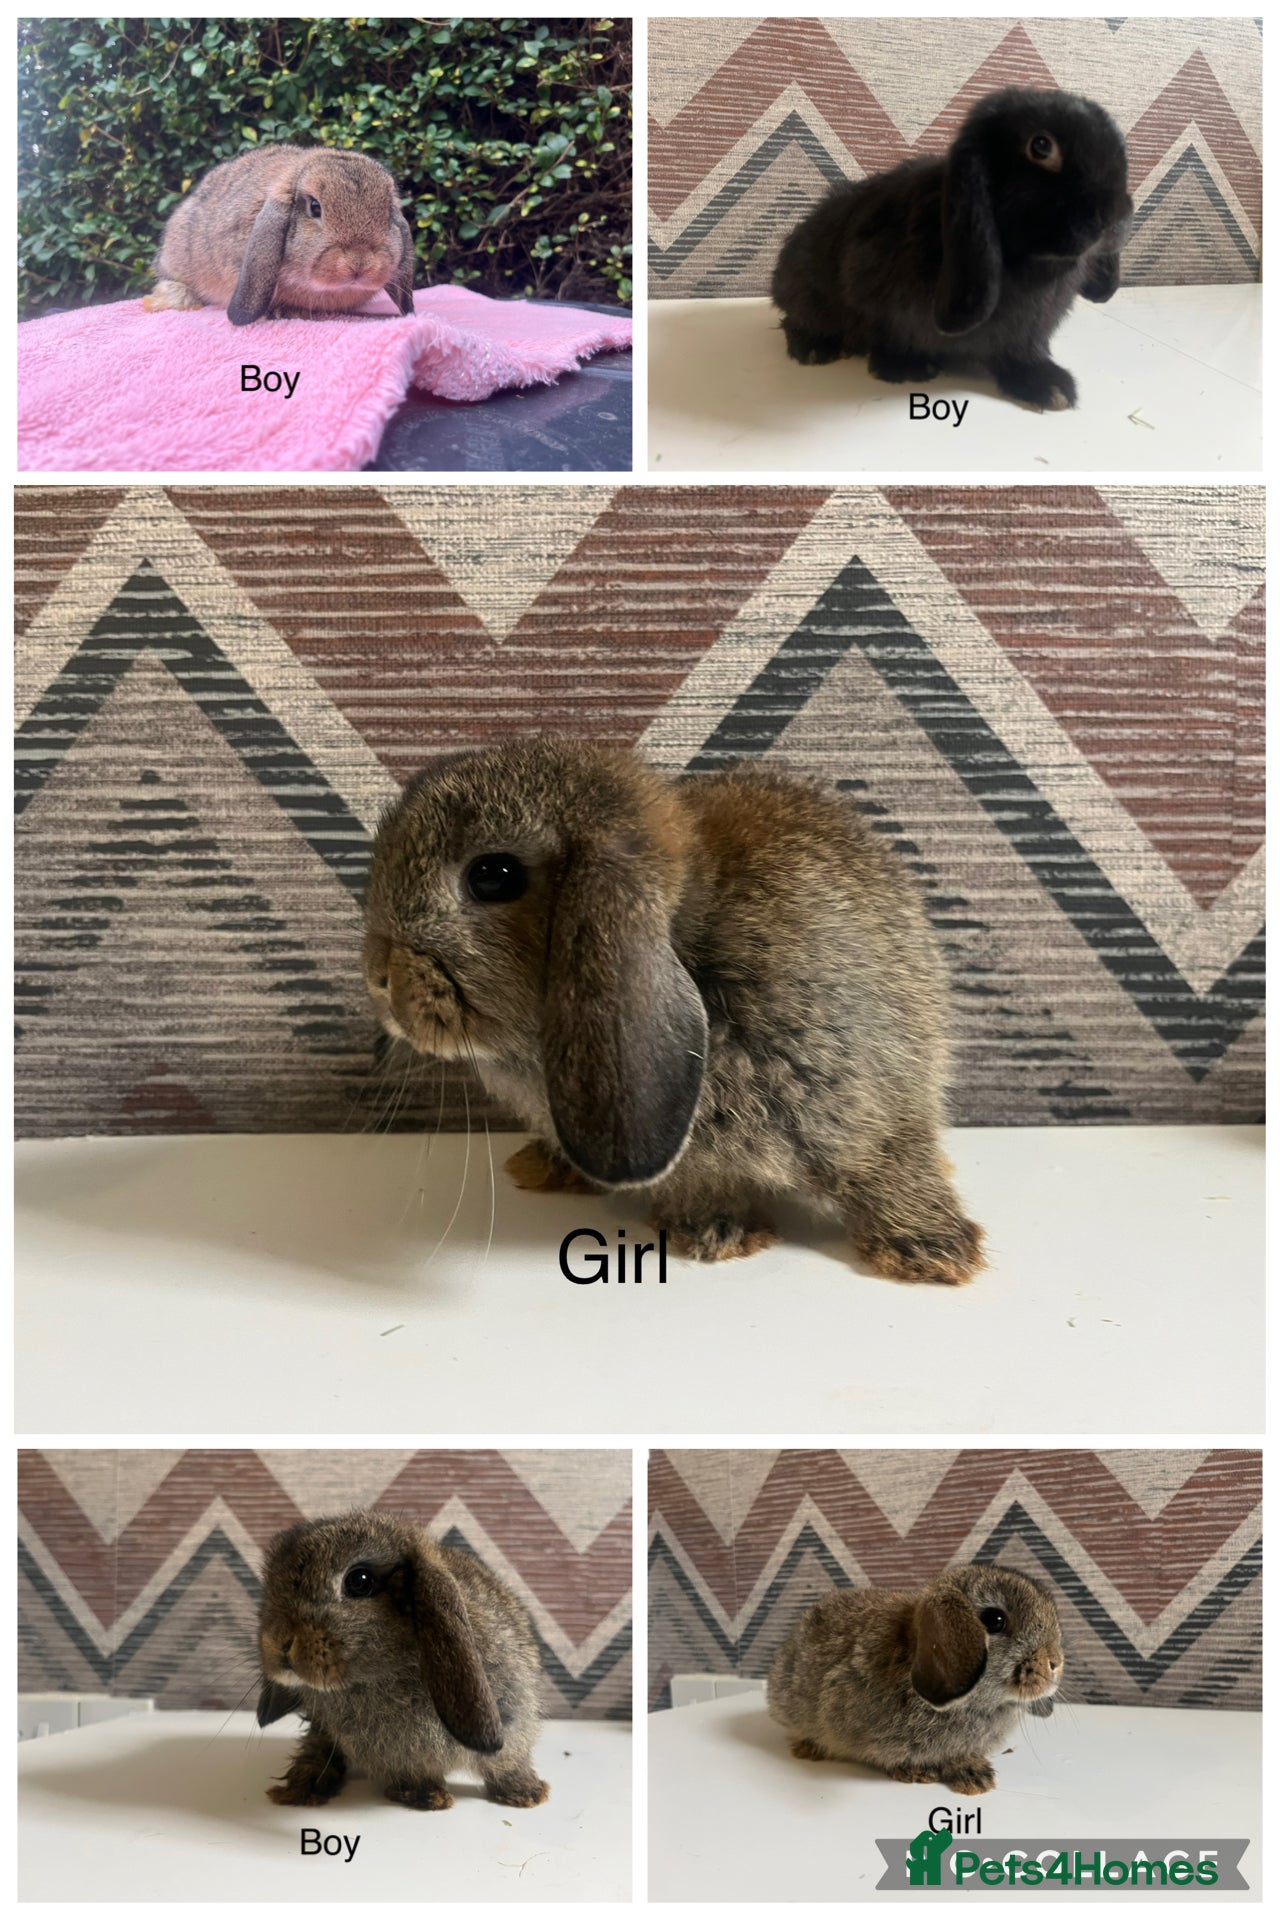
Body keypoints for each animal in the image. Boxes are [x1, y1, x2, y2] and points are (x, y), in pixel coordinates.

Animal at [256, 1510, 549, 1813]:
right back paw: (303, 1787)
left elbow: (507, 1763)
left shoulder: (512, 1721)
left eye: (359, 1581)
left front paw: (526, 1793)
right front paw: (426, 1795)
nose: (278, 1642)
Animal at [363, 737, 984, 1286]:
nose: (379, 979)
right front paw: (713, 1230)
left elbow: (891, 1168)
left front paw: (933, 1250)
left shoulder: (866, 1103)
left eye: (493, 876)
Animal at [772, 87, 1133, 411]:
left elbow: (1019, 354)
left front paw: (1049, 386)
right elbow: (888, 334)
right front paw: (906, 369)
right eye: (1041, 146)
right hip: (807, 291)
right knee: (795, 319)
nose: (1114, 214)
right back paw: (815, 348)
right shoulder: (871, 290)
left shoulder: (1025, 332)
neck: (1033, 266)